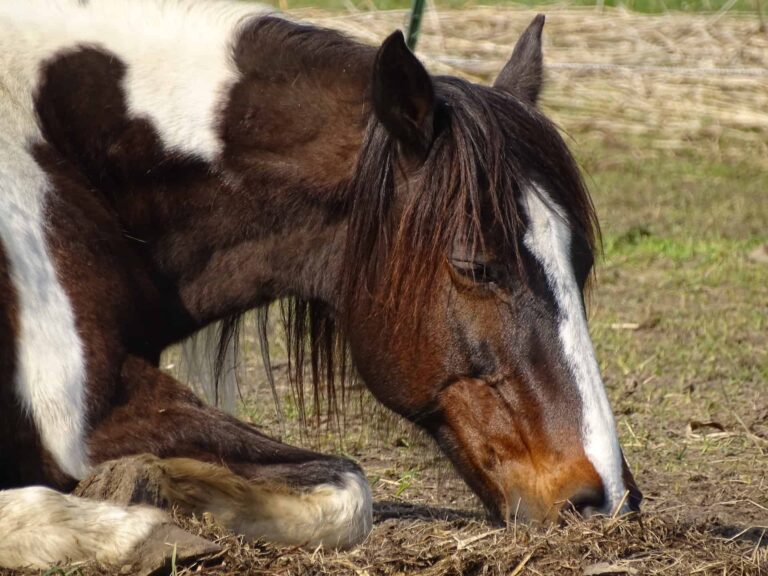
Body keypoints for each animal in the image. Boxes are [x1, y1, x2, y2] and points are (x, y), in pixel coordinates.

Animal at [0, 0, 641, 569]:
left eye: (582, 264)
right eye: (477, 266)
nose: (607, 500)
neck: (62, 158)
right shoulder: (87, 413)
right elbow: (351, 488)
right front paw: (150, 507)